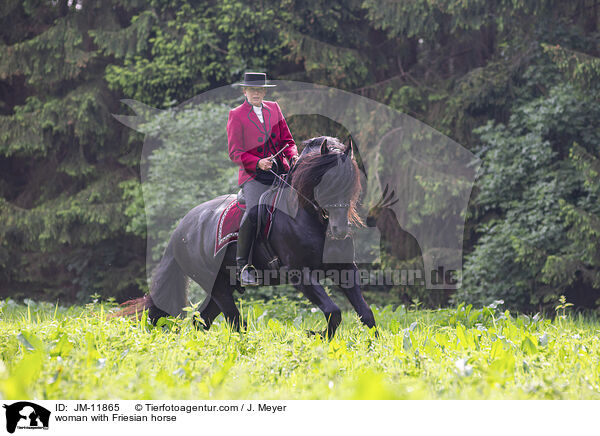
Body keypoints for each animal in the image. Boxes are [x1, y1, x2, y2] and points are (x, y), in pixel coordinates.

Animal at [118, 136, 376, 338]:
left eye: (351, 183)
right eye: (325, 182)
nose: (339, 230)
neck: (309, 217)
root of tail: (180, 230)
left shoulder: (345, 269)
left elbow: (366, 314)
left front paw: (372, 348)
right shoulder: (299, 275)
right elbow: (334, 312)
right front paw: (316, 335)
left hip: (223, 286)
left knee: (201, 321)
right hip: (218, 287)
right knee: (234, 323)